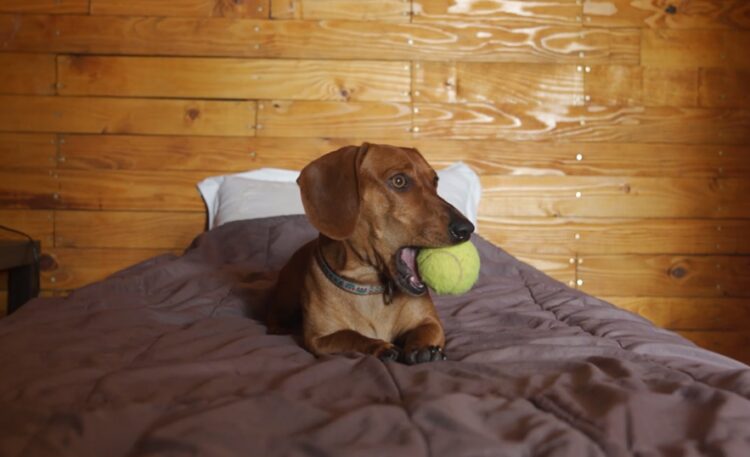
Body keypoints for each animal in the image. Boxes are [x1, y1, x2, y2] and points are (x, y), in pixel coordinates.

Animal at [268, 142, 472, 364]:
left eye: (435, 181)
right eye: (399, 181)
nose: (466, 229)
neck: (369, 283)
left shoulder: (430, 322)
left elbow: (426, 330)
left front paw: (423, 348)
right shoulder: (319, 338)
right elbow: (351, 336)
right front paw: (379, 346)